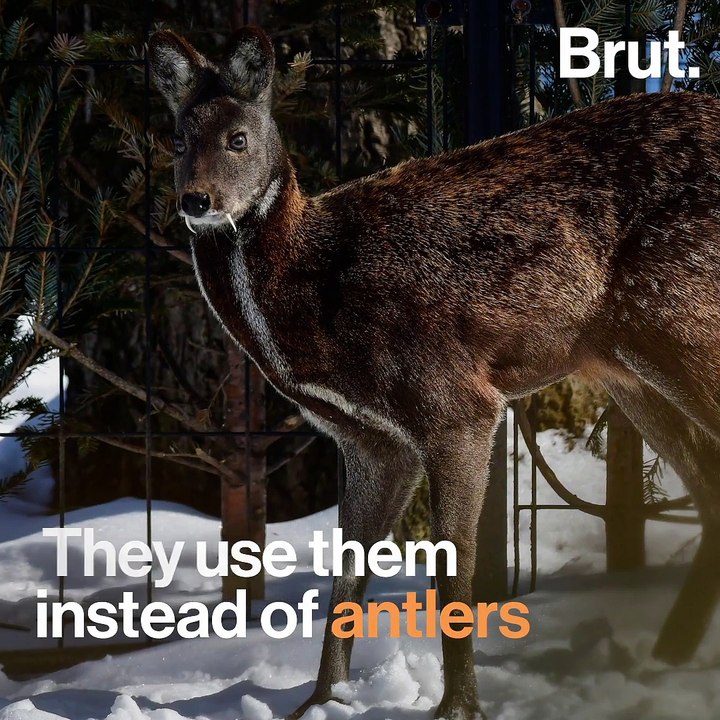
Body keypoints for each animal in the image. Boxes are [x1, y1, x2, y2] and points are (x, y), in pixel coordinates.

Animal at [148, 26, 720, 720]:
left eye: (237, 137)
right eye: (178, 140)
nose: (195, 200)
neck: (316, 295)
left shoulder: (459, 403)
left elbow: (454, 571)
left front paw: (459, 707)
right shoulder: (372, 440)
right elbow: (347, 577)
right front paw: (321, 701)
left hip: (683, 319)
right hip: (632, 373)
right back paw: (667, 659)